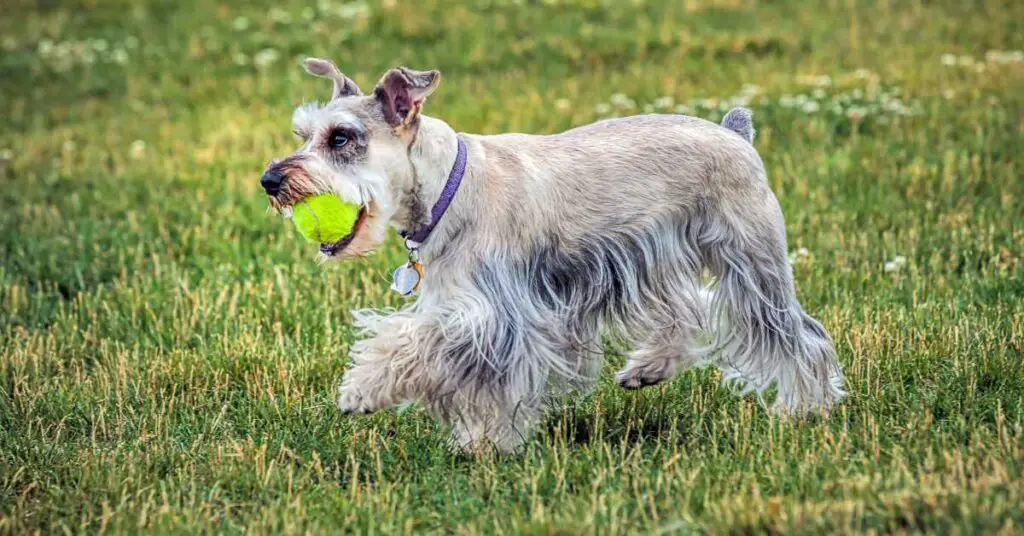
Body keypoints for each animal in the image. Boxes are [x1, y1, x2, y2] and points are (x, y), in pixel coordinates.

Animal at [260, 58, 843, 452]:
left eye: (341, 138)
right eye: (303, 134)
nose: (270, 180)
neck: (448, 186)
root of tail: (735, 133)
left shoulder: (496, 313)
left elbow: (421, 345)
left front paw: (363, 389)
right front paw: (482, 440)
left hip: (751, 262)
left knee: (798, 336)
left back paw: (804, 410)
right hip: (653, 261)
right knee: (685, 309)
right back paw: (648, 369)